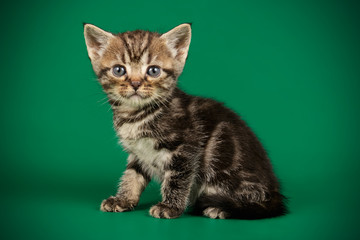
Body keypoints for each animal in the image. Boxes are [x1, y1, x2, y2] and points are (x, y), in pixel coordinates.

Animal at [83, 23, 286, 218]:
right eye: (119, 70)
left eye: (153, 70)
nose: (135, 83)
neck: (136, 115)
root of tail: (275, 189)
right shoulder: (137, 153)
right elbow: (132, 175)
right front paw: (123, 199)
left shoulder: (186, 149)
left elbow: (177, 179)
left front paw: (170, 207)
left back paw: (220, 208)